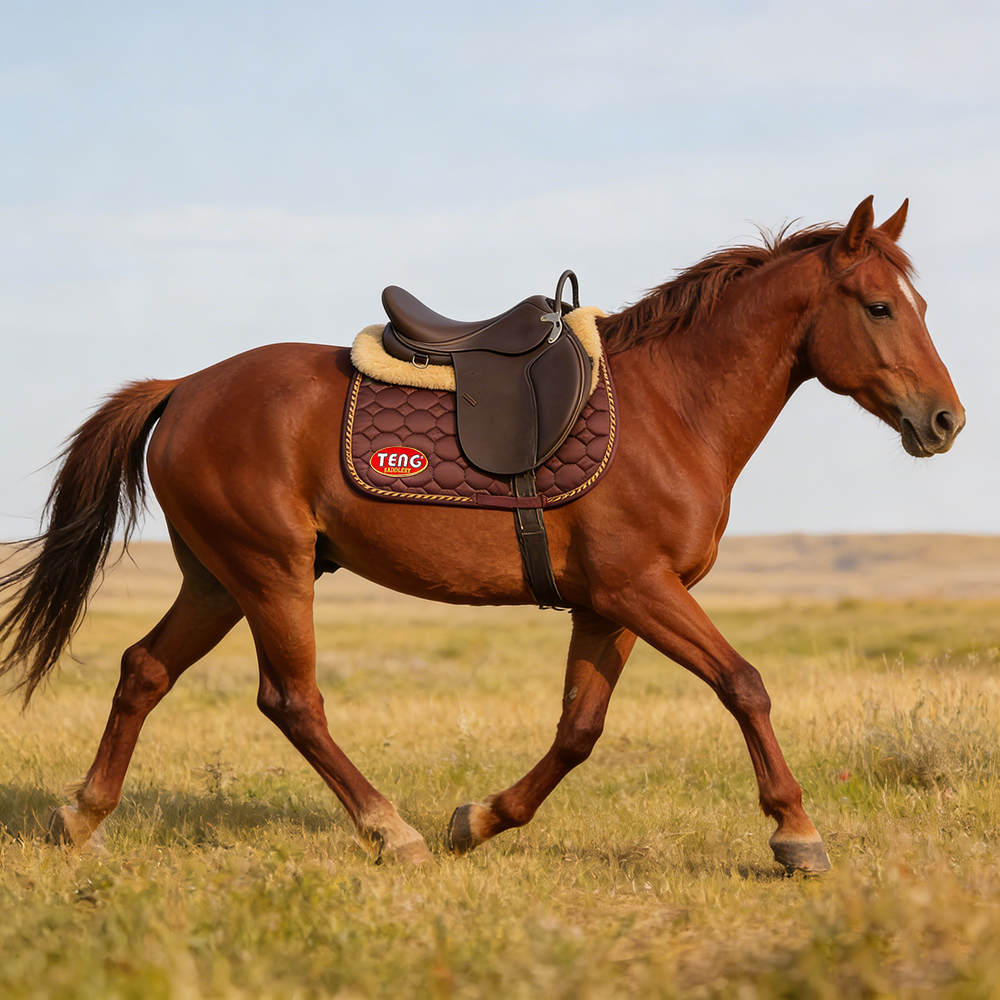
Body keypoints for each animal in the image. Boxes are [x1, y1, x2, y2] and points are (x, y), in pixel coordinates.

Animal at [0, 196, 964, 873]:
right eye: (880, 307)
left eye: (917, 302)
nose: (946, 420)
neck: (671, 409)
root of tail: (184, 387)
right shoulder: (640, 590)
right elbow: (745, 685)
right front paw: (795, 832)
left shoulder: (608, 605)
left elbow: (579, 730)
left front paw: (483, 819)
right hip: (271, 573)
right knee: (292, 701)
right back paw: (390, 830)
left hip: (216, 578)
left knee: (144, 670)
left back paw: (80, 815)